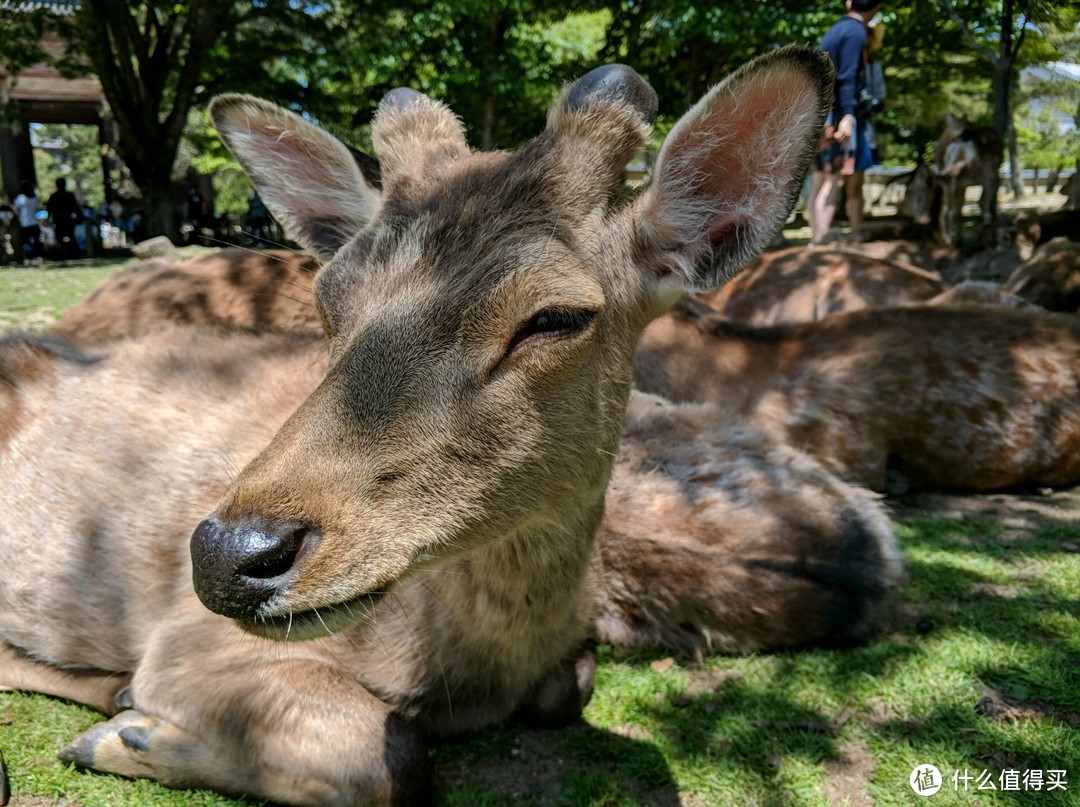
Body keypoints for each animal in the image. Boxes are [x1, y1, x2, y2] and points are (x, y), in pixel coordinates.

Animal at [0, 47, 846, 803]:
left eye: (556, 315)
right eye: (328, 297)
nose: (226, 556)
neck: (472, 669)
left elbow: (567, 687)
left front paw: (123, 724)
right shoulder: (183, 643)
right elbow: (393, 758)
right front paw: (125, 734)